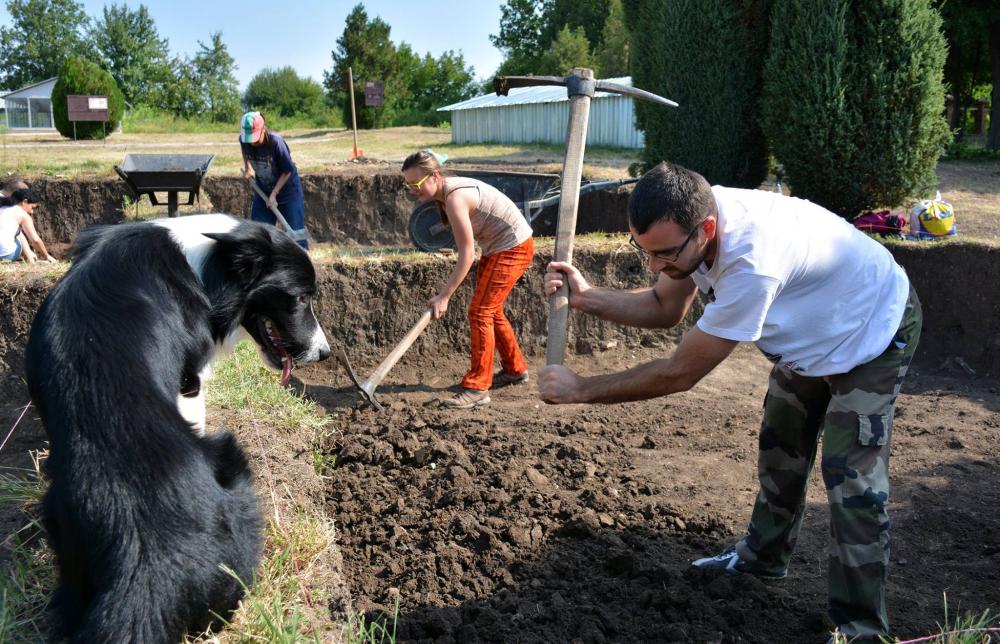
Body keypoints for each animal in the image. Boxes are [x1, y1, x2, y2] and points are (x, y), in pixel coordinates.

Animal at [23, 214, 330, 640]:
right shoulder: (189, 378)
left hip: (61, 532)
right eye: (301, 298)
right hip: (234, 465)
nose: (324, 353)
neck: (204, 262)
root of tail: (143, 568)